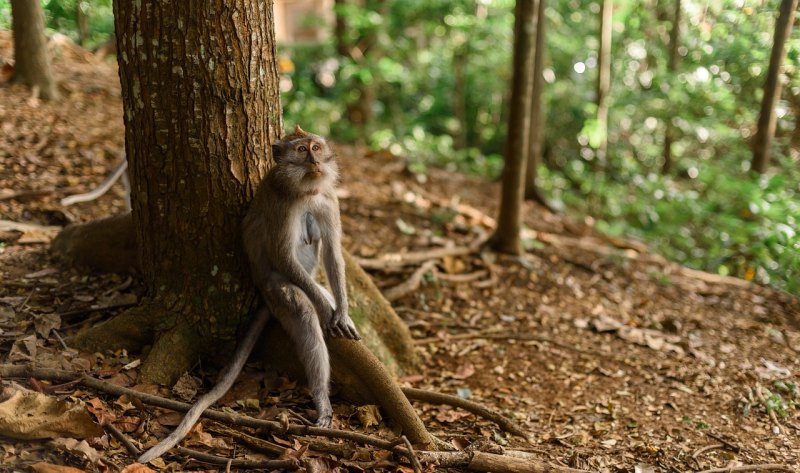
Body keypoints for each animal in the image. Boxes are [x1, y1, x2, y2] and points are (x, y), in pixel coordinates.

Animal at [138, 123, 360, 462]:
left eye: (316, 147)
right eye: (301, 150)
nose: (314, 161)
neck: (306, 190)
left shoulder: (329, 198)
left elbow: (334, 253)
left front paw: (342, 313)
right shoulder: (283, 204)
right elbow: (283, 256)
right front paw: (326, 310)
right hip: (274, 289)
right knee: (303, 314)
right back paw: (322, 397)